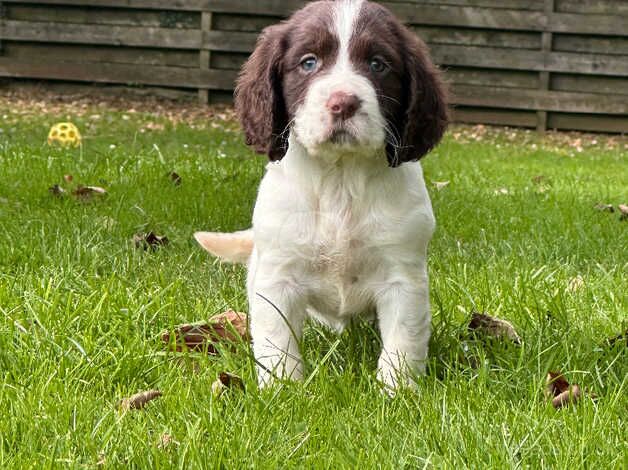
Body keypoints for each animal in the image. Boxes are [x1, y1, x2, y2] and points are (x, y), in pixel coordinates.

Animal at [196, 0, 446, 392]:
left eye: (378, 64)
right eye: (309, 62)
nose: (342, 103)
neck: (339, 179)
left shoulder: (403, 278)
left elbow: (403, 340)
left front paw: (396, 392)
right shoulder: (278, 278)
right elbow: (276, 340)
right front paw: (283, 389)